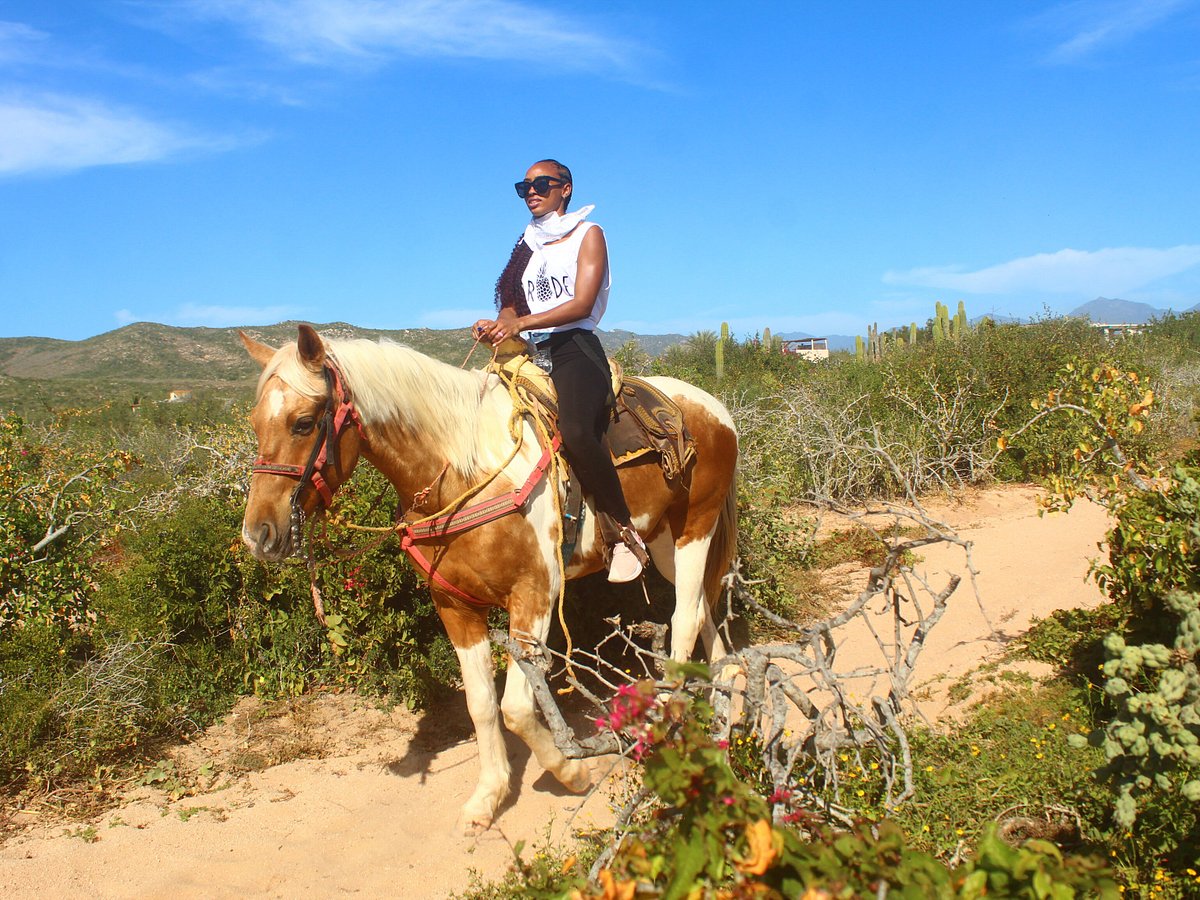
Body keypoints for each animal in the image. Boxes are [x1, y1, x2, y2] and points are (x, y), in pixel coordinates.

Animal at [238, 321, 734, 830]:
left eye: (303, 422)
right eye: (255, 423)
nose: (258, 535)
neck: (465, 472)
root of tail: (712, 406)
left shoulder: (534, 596)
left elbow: (515, 708)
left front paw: (574, 771)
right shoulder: (454, 606)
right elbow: (480, 704)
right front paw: (489, 796)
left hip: (695, 527)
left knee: (685, 618)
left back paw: (669, 717)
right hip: (663, 540)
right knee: (700, 607)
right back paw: (724, 689)